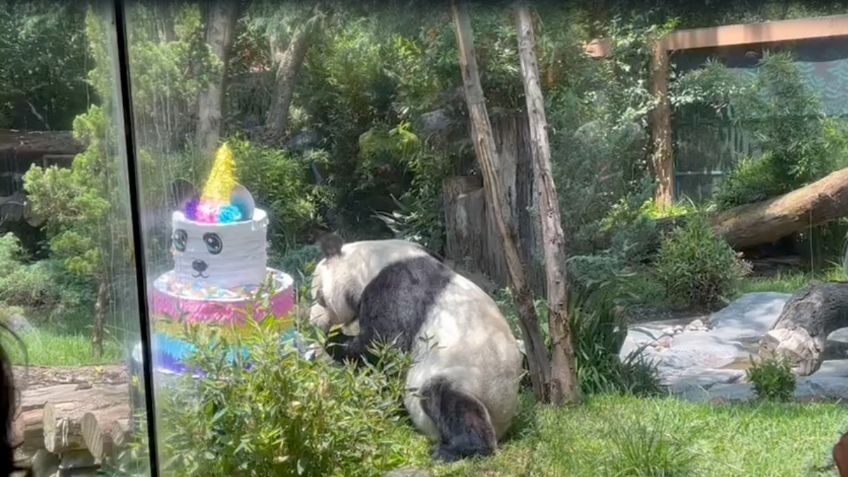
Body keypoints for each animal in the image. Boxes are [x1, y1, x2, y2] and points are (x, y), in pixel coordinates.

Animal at [312, 234, 524, 462]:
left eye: (319, 297)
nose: (312, 319)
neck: (371, 262)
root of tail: (502, 421)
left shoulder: (395, 289)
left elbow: (380, 346)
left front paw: (333, 338)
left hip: (465, 377)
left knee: (446, 400)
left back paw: (456, 450)